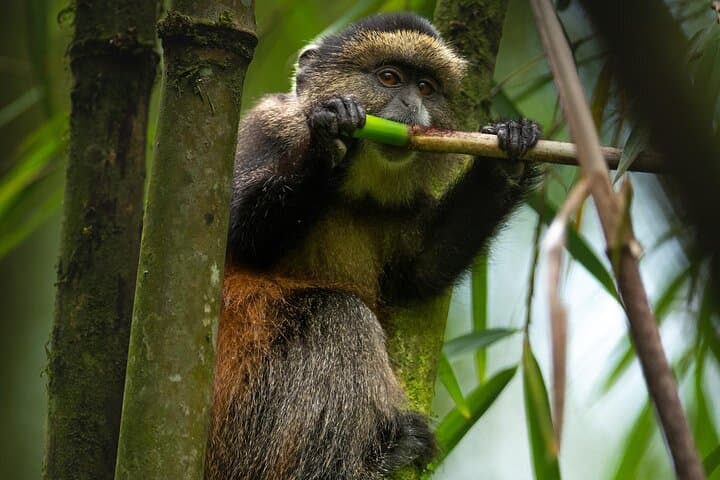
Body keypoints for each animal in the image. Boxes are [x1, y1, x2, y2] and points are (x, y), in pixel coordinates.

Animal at [206, 12, 541, 480]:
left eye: (426, 88)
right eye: (389, 78)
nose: (412, 106)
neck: (353, 190)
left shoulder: (403, 206)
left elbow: (419, 273)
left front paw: (510, 152)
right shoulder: (263, 131)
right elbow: (238, 235)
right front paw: (331, 141)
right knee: (337, 314)